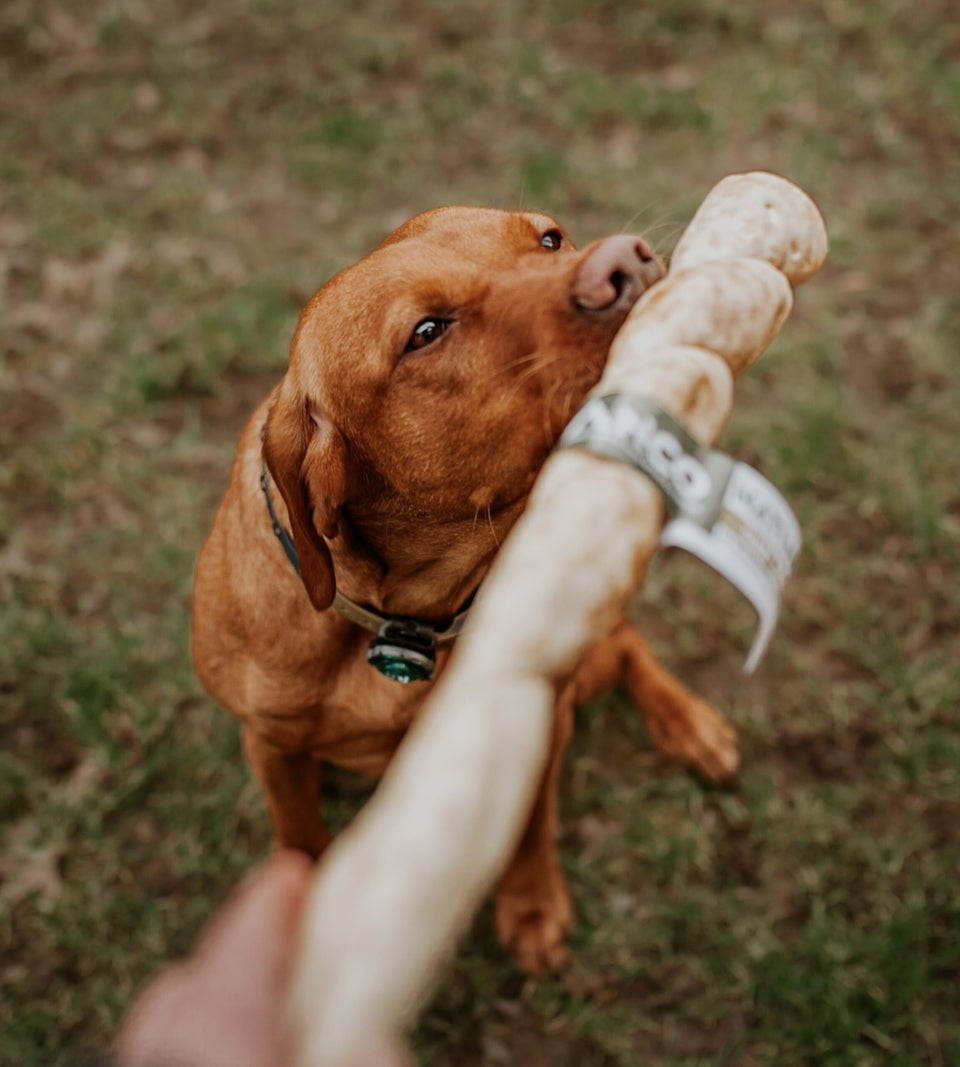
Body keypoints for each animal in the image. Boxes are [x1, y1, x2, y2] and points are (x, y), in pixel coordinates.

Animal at [190, 205, 738, 977]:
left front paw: (532, 903)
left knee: (625, 640)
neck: (406, 618)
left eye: (549, 238)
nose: (624, 262)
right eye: (426, 332)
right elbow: (298, 840)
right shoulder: (271, 745)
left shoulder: (535, 722)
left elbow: (531, 823)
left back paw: (687, 722)